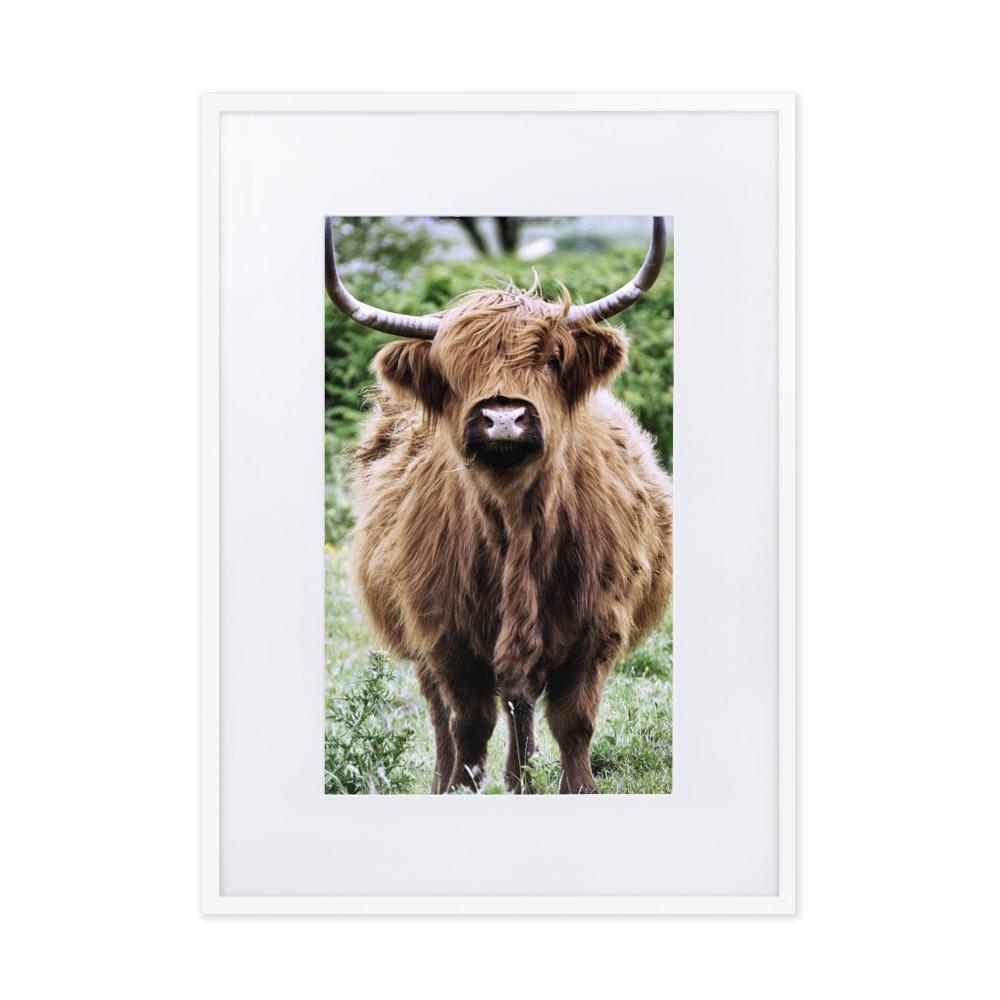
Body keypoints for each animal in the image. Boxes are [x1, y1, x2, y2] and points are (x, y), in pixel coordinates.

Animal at [326, 217, 673, 793]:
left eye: (553, 359)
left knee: (520, 702)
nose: (504, 417)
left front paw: (577, 788)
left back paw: (520, 779)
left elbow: (573, 721)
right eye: (452, 369)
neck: (517, 524)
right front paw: (460, 788)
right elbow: (468, 723)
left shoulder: (600, 627)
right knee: (447, 713)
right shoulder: (443, 634)